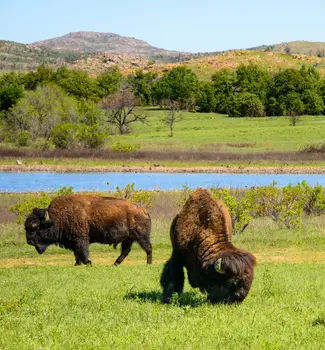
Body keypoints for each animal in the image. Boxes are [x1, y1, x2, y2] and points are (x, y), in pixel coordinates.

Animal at [24, 194, 153, 266]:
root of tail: (144, 211)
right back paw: (114, 264)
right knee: (125, 251)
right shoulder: (73, 240)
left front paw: (89, 263)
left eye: (36, 227)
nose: (29, 241)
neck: (57, 217)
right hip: (128, 238)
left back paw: (149, 264)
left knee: (148, 248)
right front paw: (77, 264)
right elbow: (77, 253)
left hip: (141, 236)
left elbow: (82, 251)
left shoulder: (80, 238)